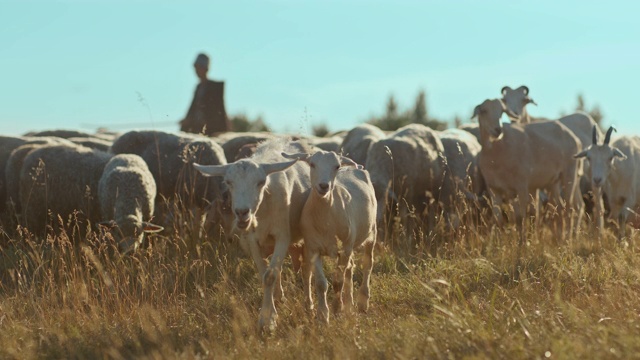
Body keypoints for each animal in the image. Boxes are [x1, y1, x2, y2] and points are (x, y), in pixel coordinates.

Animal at [19, 143, 162, 250]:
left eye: (139, 233)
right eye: (118, 233)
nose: (129, 252)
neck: (128, 194)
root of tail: (32, 153)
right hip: (33, 208)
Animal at [194, 138, 312, 332]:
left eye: (261, 181)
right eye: (228, 182)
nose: (242, 212)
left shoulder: (283, 236)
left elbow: (269, 276)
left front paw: (267, 320)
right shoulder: (252, 241)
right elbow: (265, 273)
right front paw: (270, 313)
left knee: (306, 271)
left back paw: (309, 304)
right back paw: (279, 297)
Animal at [282, 150, 378, 324]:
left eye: (337, 166)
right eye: (312, 164)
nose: (324, 186)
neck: (325, 219)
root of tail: (355, 167)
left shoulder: (344, 248)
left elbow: (337, 281)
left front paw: (337, 308)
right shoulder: (314, 248)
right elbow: (321, 283)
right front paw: (323, 315)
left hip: (371, 232)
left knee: (368, 264)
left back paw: (362, 302)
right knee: (350, 269)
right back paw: (350, 303)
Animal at [470, 99, 584, 242]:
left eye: (502, 111)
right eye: (484, 111)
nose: (498, 129)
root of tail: (574, 137)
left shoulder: (522, 185)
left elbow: (521, 217)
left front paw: (523, 243)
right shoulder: (494, 189)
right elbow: (499, 220)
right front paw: (499, 242)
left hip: (569, 173)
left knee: (570, 208)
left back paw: (568, 239)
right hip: (554, 181)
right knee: (562, 208)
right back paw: (561, 237)